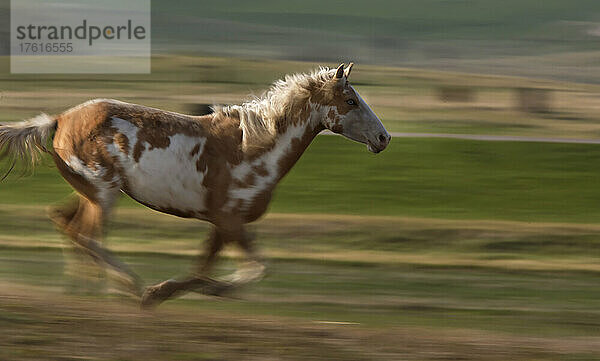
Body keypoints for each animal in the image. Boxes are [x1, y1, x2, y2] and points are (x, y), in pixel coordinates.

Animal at [0, 63, 390, 306]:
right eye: (351, 100)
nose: (383, 138)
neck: (253, 147)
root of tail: (59, 119)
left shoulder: (222, 224)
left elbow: (207, 269)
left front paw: (173, 291)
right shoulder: (229, 220)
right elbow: (253, 270)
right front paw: (159, 293)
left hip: (89, 192)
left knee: (65, 222)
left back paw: (82, 289)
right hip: (103, 193)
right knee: (87, 237)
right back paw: (128, 286)